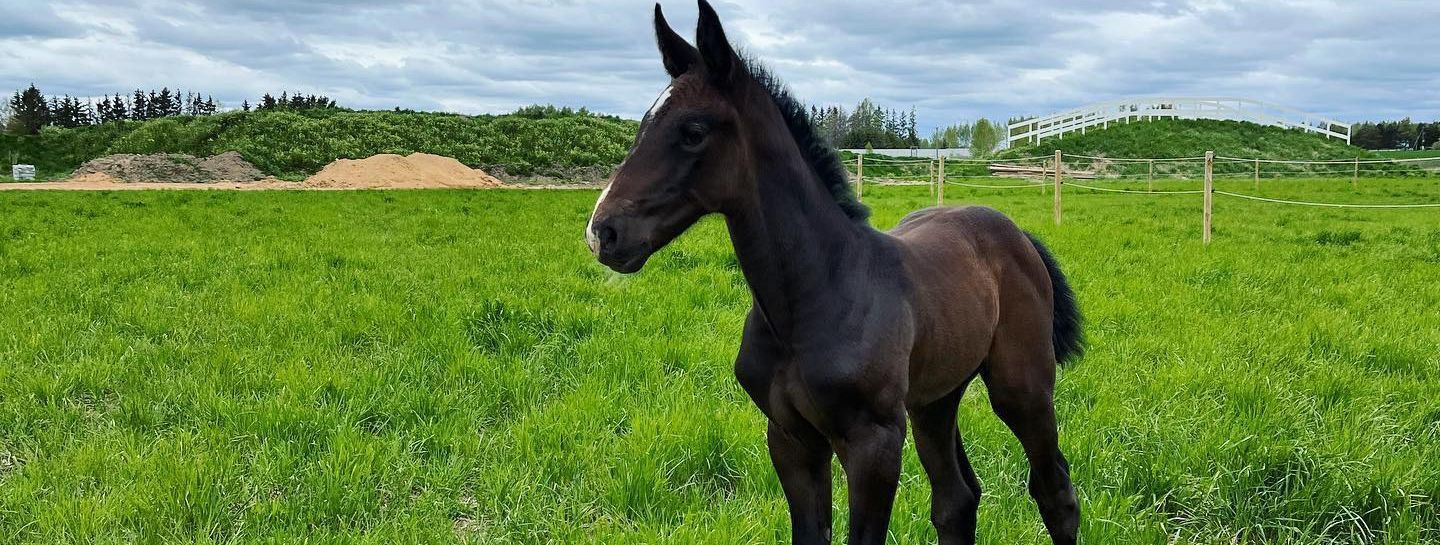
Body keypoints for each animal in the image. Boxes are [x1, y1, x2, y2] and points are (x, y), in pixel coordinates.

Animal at [584, 2, 1082, 542]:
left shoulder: (875, 444)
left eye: (693, 132)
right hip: (934, 399)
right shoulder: (790, 439)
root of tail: (1017, 234)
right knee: (956, 499)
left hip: (1023, 388)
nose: (603, 233)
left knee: (1055, 492)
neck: (815, 295)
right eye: (642, 125)